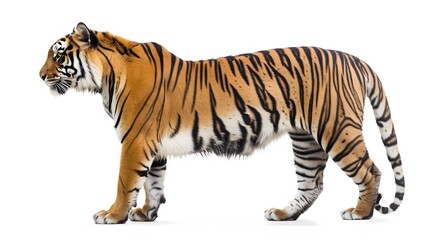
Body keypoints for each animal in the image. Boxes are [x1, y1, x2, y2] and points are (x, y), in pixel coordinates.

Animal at [38, 22, 402, 223]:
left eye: (58, 55)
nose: (40, 76)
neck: (107, 78)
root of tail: (354, 59)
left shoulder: (134, 141)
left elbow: (125, 182)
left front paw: (113, 215)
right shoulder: (152, 146)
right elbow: (154, 182)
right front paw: (146, 214)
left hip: (337, 130)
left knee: (371, 171)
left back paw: (361, 212)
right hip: (305, 139)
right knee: (311, 183)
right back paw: (283, 215)